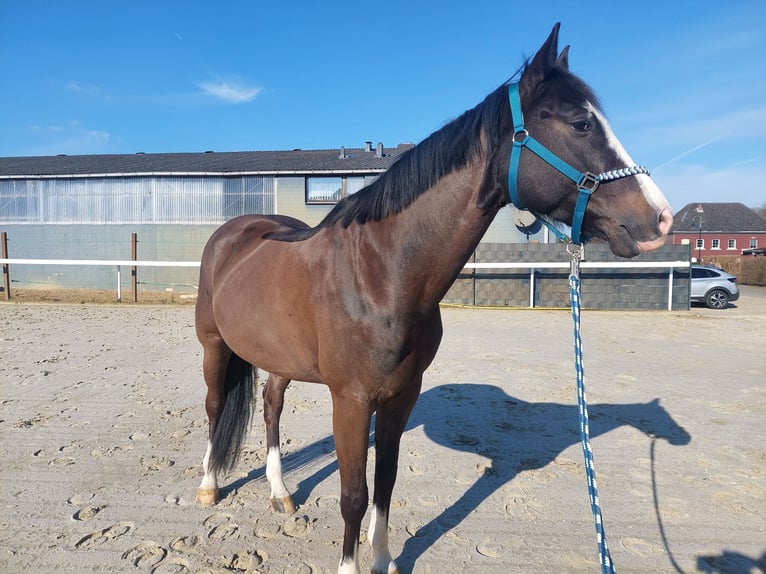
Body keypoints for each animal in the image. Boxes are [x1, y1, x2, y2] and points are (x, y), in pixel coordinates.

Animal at [195, 23, 676, 574]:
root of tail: (235, 231)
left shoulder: (402, 396)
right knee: (214, 405)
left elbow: (385, 484)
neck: (382, 273)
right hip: (214, 346)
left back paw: (280, 494)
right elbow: (354, 495)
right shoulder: (351, 400)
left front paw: (383, 559)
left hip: (278, 358)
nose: (660, 217)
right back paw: (208, 486)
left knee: (272, 407)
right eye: (580, 123)